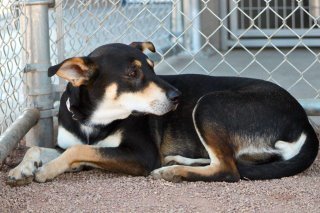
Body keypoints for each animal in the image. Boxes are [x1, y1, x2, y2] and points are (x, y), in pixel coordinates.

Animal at [6, 41, 318, 185]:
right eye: (133, 73)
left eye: (153, 69)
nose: (177, 97)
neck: (93, 121)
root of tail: (302, 120)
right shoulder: (68, 141)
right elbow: (38, 148)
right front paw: (21, 168)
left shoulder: (141, 155)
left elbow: (78, 151)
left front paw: (49, 170)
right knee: (231, 162)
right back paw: (179, 161)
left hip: (208, 103)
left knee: (229, 170)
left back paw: (172, 171)